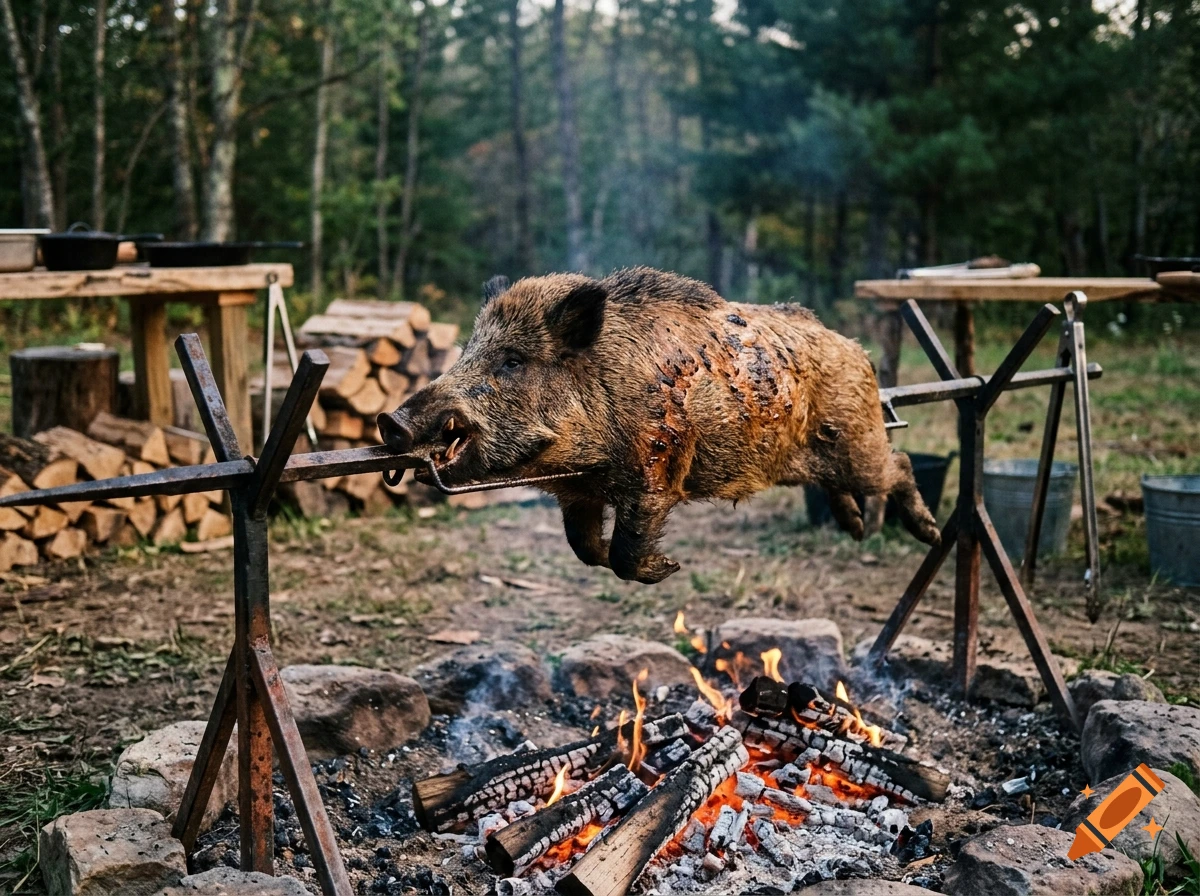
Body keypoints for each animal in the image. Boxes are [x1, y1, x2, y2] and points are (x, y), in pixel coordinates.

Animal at [377, 267, 940, 584]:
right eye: (467, 350)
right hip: (814, 460)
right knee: (841, 487)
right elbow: (584, 548)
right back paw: (857, 529)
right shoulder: (578, 494)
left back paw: (928, 533)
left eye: (513, 361)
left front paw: (668, 569)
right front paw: (631, 563)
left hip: (859, 441)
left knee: (899, 464)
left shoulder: (655, 468)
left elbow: (627, 547)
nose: (390, 421)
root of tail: (857, 350)